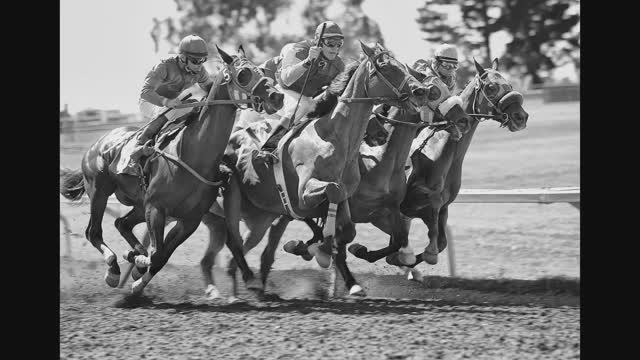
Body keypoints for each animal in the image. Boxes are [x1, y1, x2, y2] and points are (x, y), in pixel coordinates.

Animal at [58, 46, 284, 294]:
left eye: (261, 70)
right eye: (243, 74)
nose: (277, 96)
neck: (193, 155)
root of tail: (98, 142)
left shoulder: (189, 219)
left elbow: (162, 255)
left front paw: (138, 271)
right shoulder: (157, 208)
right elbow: (157, 253)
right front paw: (138, 267)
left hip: (139, 203)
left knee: (122, 223)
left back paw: (132, 257)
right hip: (99, 192)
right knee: (94, 232)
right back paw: (113, 270)